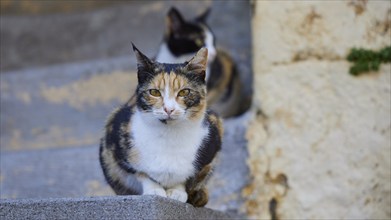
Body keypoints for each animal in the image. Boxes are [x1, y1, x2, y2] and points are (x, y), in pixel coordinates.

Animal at [99, 43, 224, 207]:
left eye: (184, 92)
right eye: (154, 92)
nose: (168, 109)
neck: (169, 135)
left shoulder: (213, 141)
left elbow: (188, 177)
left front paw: (177, 192)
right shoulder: (115, 129)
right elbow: (141, 173)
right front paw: (154, 190)